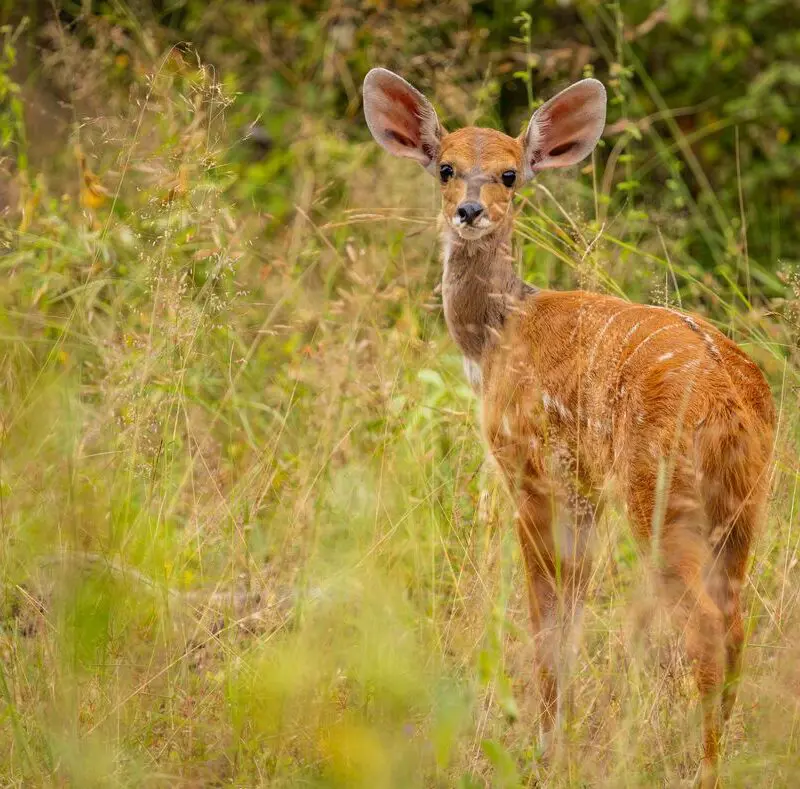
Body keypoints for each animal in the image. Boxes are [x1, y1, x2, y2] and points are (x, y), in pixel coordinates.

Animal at [363, 68, 775, 787]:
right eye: (445, 167)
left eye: (509, 174)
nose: (470, 211)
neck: (497, 334)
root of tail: (733, 398)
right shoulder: (584, 488)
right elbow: (573, 619)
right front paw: (561, 740)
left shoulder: (530, 469)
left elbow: (545, 622)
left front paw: (545, 749)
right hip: (744, 502)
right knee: (735, 620)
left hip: (659, 490)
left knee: (702, 623)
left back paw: (704, 769)